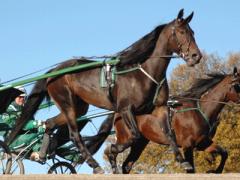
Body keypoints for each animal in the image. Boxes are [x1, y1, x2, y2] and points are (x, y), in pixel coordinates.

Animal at [5, 9, 202, 174]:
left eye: (193, 32)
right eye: (182, 32)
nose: (196, 56)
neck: (143, 72)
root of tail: (55, 71)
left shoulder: (159, 108)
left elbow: (169, 134)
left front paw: (183, 161)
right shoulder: (125, 109)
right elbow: (134, 136)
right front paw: (112, 151)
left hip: (78, 107)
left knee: (50, 123)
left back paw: (43, 153)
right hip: (66, 102)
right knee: (74, 135)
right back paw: (94, 164)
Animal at [105, 67, 240, 173]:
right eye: (237, 85)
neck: (200, 111)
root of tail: (120, 111)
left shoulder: (202, 143)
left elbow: (224, 152)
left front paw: (215, 170)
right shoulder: (187, 145)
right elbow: (191, 169)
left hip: (140, 142)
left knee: (126, 165)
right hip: (127, 137)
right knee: (113, 151)